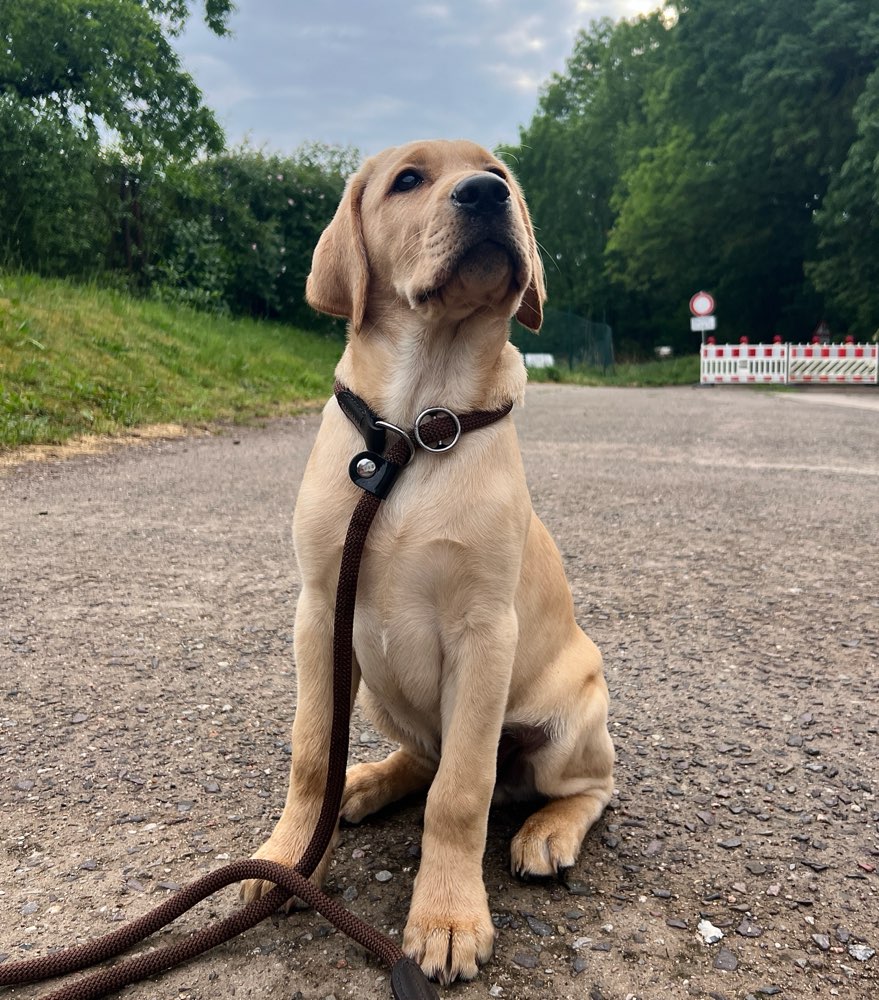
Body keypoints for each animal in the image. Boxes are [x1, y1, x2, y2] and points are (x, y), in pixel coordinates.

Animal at [241, 139, 612, 984]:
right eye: (407, 180)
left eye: (500, 176)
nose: (484, 195)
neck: (414, 426)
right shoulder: (320, 611)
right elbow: (310, 754)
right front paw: (288, 859)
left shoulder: (484, 634)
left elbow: (461, 792)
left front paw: (446, 918)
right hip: (378, 689)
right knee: (419, 756)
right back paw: (366, 782)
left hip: (573, 718)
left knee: (585, 785)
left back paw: (548, 832)